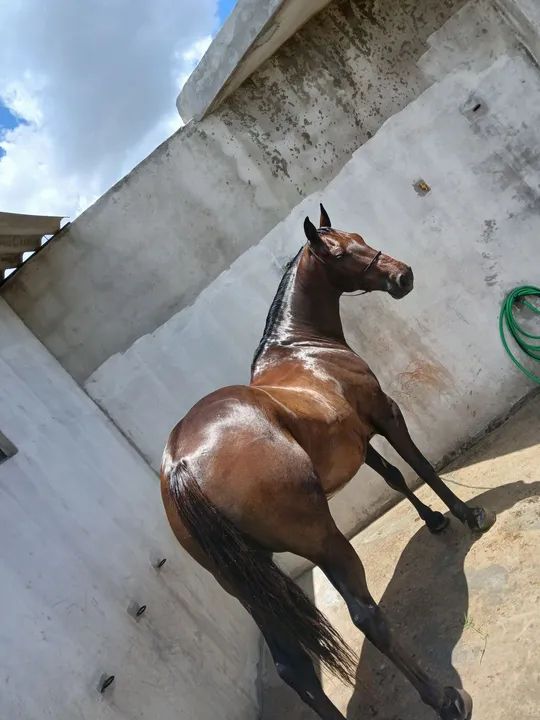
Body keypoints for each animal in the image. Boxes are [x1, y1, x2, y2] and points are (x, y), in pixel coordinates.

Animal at [160, 205, 495, 720]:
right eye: (337, 252)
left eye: (359, 237)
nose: (402, 276)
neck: (305, 347)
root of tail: (182, 461)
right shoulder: (386, 414)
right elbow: (419, 466)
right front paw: (466, 514)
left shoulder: (357, 437)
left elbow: (393, 475)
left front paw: (435, 520)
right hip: (323, 542)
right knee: (367, 618)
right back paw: (445, 699)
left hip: (246, 588)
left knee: (292, 669)